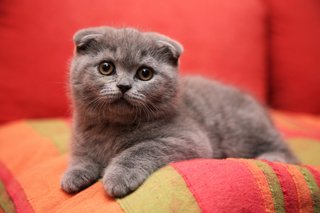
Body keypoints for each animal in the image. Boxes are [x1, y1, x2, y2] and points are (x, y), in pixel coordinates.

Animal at [61, 26, 298, 198]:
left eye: (145, 73)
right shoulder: (81, 138)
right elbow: (81, 156)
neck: (113, 128)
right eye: (106, 67)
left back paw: (271, 157)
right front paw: (74, 174)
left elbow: (141, 149)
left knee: (285, 151)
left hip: (245, 131)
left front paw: (118, 177)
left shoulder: (189, 138)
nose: (124, 86)